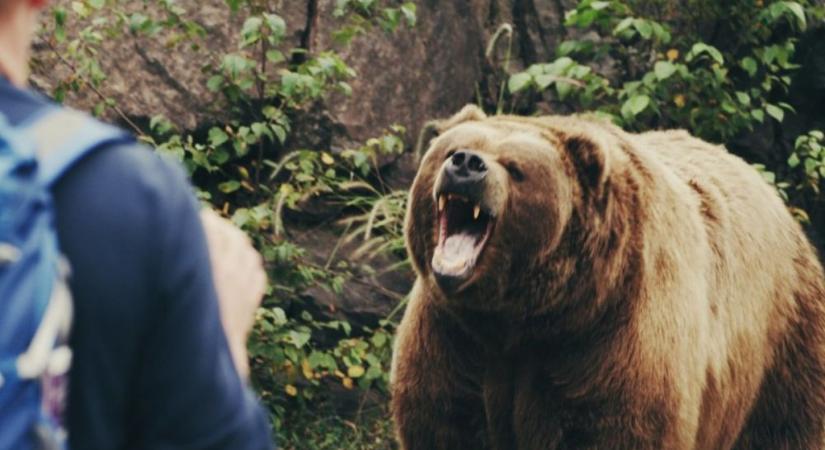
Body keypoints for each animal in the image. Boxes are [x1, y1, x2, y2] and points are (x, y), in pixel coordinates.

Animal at [390, 105, 824, 450]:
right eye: (450, 150)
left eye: (515, 168)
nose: (466, 164)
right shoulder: (454, 335)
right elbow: (445, 418)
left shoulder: (614, 335)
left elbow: (618, 426)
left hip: (782, 345)